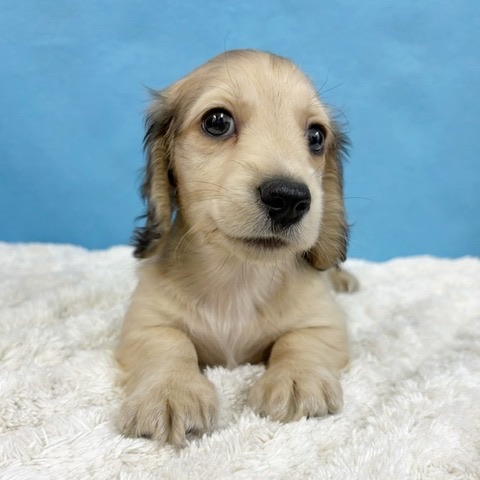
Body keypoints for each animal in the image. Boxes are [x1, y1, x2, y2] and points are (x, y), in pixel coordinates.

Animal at [117, 49, 357, 446]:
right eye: (217, 122)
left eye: (315, 136)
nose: (289, 199)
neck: (237, 278)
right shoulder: (144, 321)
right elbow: (168, 344)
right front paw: (170, 390)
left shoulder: (324, 321)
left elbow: (300, 342)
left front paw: (296, 378)